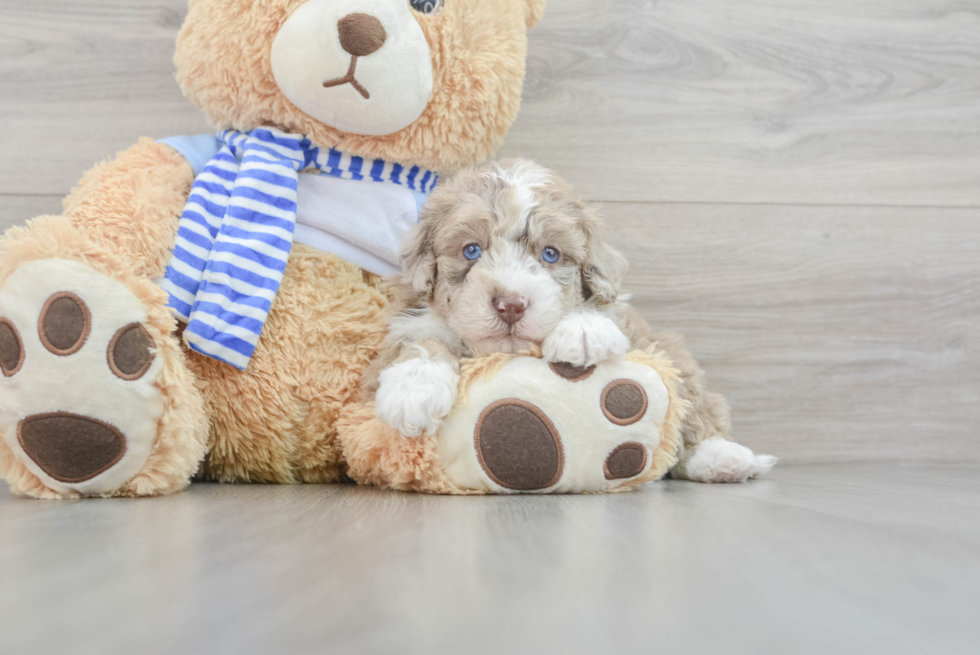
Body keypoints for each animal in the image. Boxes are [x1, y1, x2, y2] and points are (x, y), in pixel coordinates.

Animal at [364, 161, 776, 484]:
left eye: (550, 254)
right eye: (471, 250)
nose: (510, 304)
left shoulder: (628, 324)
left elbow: (599, 311)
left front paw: (582, 329)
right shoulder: (405, 325)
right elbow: (419, 341)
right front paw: (413, 389)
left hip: (671, 353)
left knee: (696, 400)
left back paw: (722, 457)